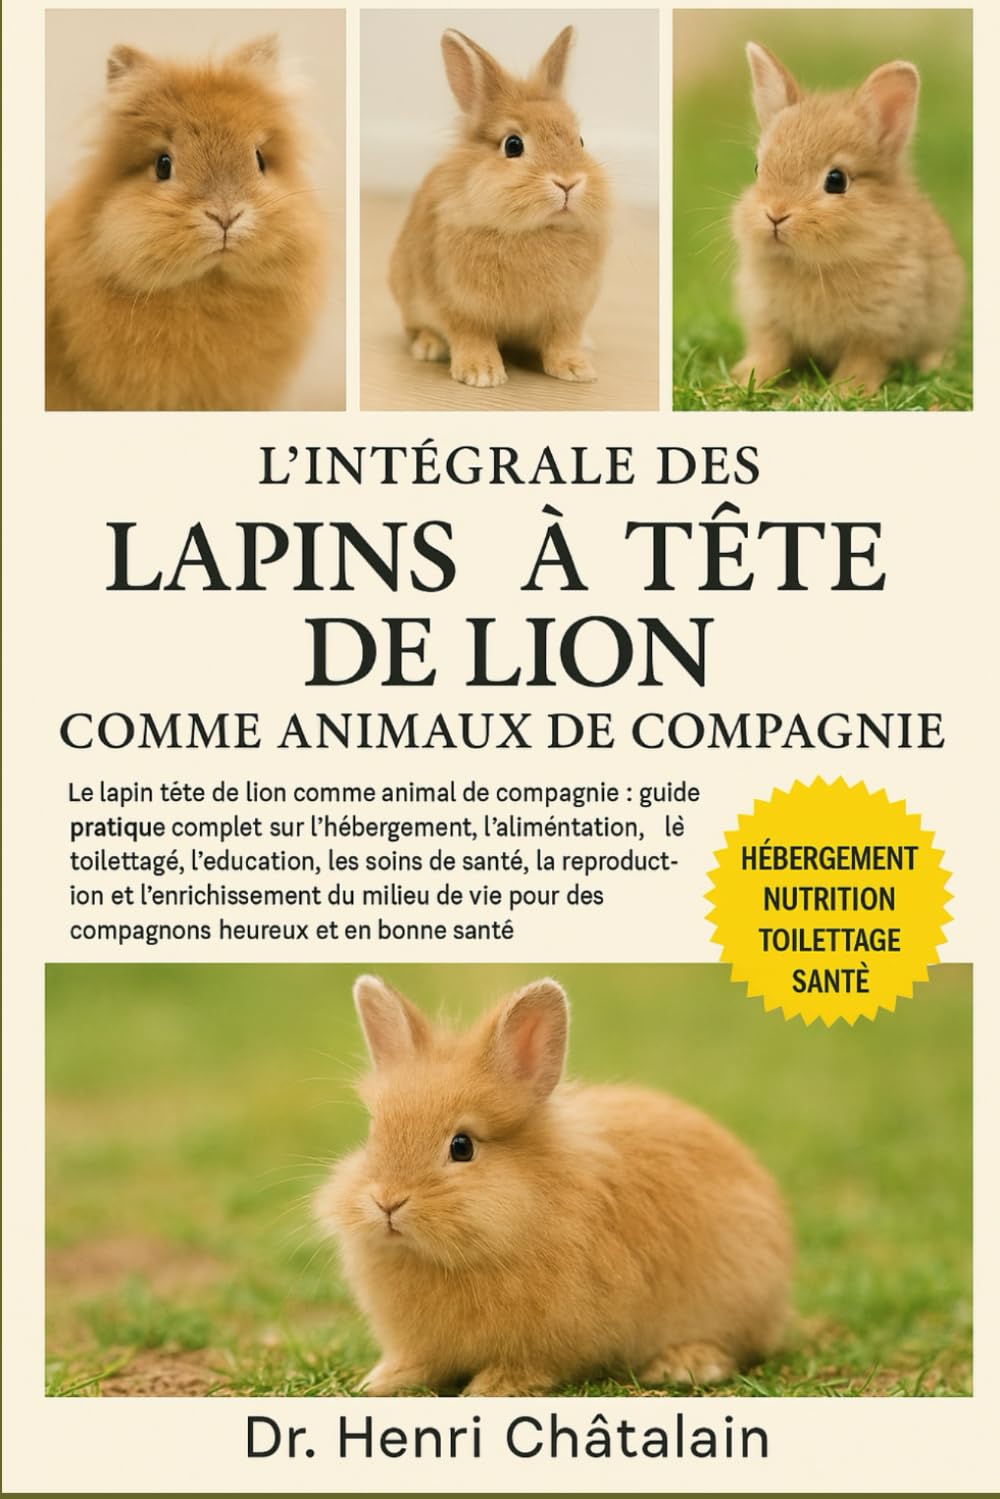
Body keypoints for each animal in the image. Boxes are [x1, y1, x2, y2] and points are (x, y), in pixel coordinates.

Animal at [314, 975, 793, 1396]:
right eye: (374, 1133)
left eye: (462, 1146)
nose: (387, 1202)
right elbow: (416, 1362)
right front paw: (379, 1382)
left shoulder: (551, 1338)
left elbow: (530, 1365)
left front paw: (491, 1388)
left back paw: (681, 1365)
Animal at [388, 27, 610, 389]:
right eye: (513, 145)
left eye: (579, 141)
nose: (568, 183)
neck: (536, 231)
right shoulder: (461, 305)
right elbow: (472, 336)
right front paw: (482, 374)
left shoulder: (569, 310)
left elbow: (562, 340)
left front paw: (577, 370)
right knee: (417, 328)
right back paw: (429, 347)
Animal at [730, 42, 964, 394]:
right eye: (758, 169)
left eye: (836, 180)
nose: (775, 215)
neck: (812, 264)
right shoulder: (769, 321)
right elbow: (769, 353)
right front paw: (744, 380)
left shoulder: (877, 329)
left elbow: (861, 362)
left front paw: (847, 391)